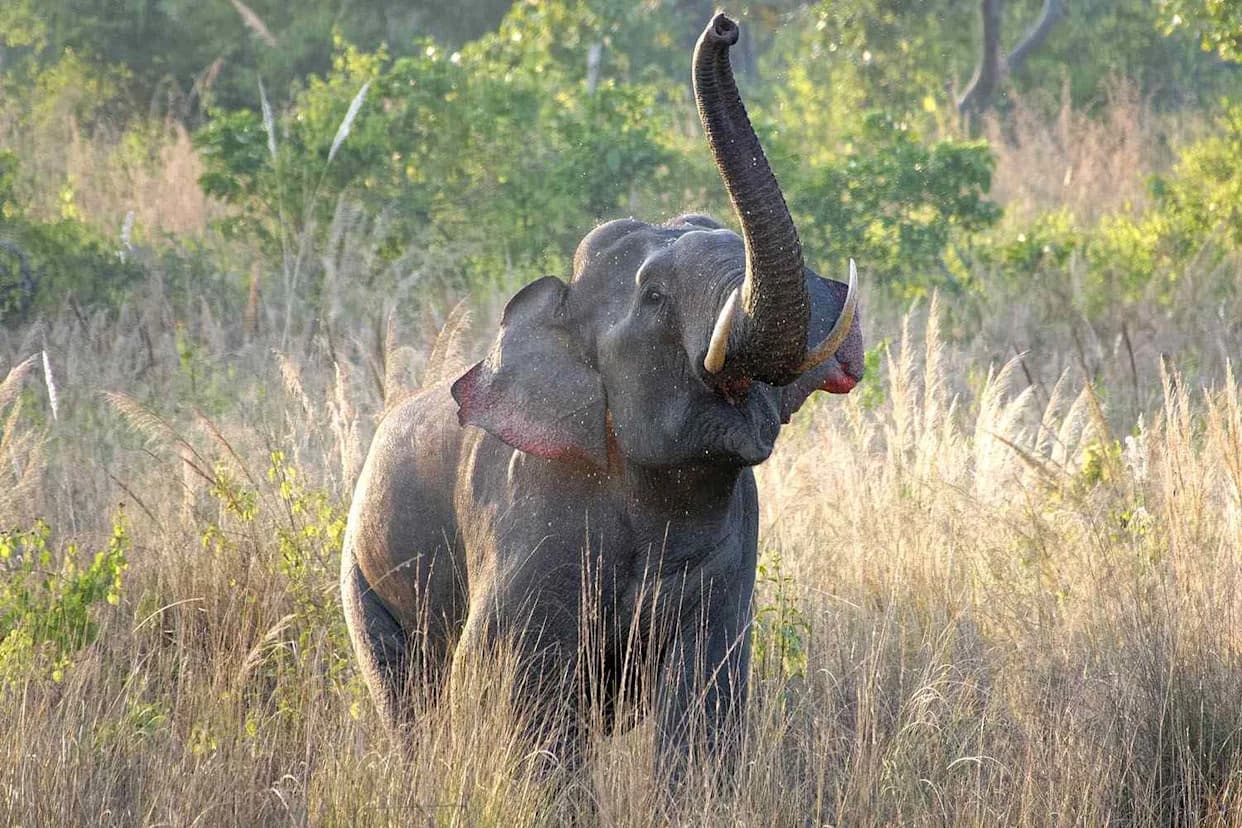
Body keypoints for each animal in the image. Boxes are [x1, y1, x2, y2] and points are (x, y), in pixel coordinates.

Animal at [340, 12, 864, 772]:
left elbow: (705, 696)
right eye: (654, 297)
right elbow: (508, 681)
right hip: (362, 571)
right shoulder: (530, 514)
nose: (725, 26)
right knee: (408, 696)